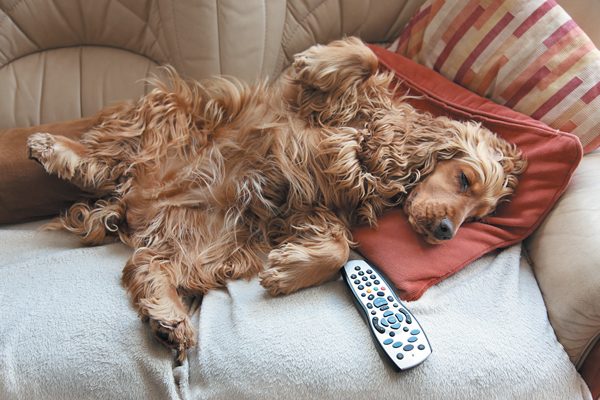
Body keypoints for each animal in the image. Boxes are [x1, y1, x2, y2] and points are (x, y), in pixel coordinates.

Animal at [28, 37, 524, 360]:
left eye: (478, 216)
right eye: (464, 180)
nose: (446, 232)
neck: (380, 151)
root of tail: (136, 202)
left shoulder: (315, 209)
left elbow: (338, 246)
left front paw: (288, 272)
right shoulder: (307, 104)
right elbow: (364, 57)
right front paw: (319, 58)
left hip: (209, 243)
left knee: (146, 264)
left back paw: (169, 321)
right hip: (170, 112)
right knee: (107, 158)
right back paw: (54, 148)